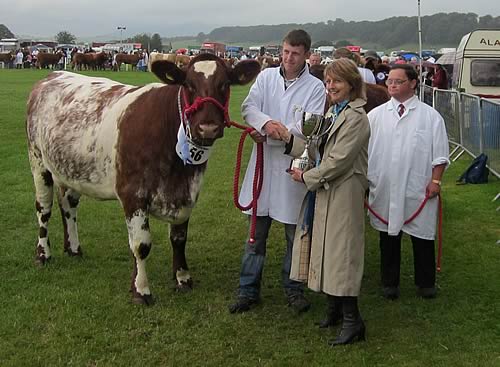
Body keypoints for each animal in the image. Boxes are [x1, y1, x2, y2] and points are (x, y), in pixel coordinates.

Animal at [26, 51, 262, 304]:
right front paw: (141, 290)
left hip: (69, 170)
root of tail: (52, 76)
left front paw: (183, 279)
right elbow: (141, 244)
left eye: (224, 84)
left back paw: (74, 249)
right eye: (188, 84)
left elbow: (179, 239)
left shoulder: (186, 194)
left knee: (68, 206)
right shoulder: (133, 194)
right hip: (38, 161)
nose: (207, 128)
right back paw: (43, 254)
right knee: (44, 209)